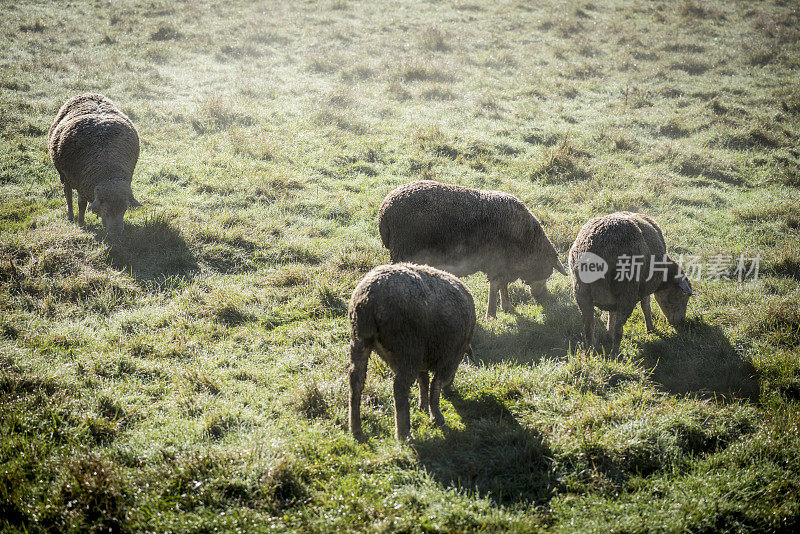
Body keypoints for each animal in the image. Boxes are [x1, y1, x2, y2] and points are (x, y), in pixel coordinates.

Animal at [48, 93, 142, 234]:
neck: (109, 173)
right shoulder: (80, 183)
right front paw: (81, 222)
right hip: (64, 174)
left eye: (125, 209)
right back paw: (70, 216)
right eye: (105, 209)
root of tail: (88, 94)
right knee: (68, 194)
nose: (116, 232)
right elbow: (81, 204)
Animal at [348, 264, 476, 444]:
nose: (451, 392)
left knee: (356, 381)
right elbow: (435, 385)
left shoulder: (421, 359)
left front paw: (423, 407)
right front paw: (436, 416)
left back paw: (356, 429)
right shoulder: (449, 358)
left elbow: (424, 381)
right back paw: (404, 433)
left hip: (359, 340)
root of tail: (369, 299)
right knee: (400, 388)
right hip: (409, 348)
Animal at [376, 180, 568, 322]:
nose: (542, 298)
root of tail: (384, 214)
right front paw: (491, 315)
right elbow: (495, 286)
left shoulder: (503, 265)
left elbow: (503, 286)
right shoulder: (497, 263)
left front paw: (507, 307)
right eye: (548, 273)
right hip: (403, 252)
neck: (528, 242)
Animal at [568, 213, 692, 356]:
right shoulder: (644, 288)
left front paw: (608, 333)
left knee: (588, 326)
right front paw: (650, 329)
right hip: (627, 292)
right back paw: (614, 355)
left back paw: (590, 353)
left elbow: (611, 314)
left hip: (581, 292)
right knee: (619, 329)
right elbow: (646, 307)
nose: (681, 322)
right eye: (683, 296)